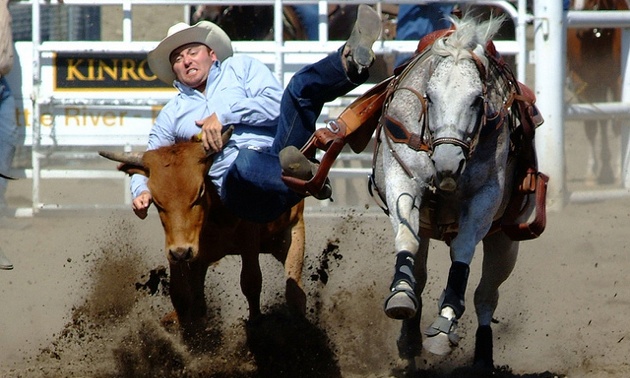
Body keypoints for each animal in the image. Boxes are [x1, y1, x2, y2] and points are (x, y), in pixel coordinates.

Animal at [372, 16, 544, 368]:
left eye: (477, 99)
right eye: (430, 95)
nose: (448, 162)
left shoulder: (485, 198)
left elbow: (463, 253)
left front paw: (444, 323)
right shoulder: (402, 179)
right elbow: (406, 240)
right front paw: (400, 294)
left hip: (505, 242)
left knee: (485, 297)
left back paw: (482, 358)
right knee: (423, 275)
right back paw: (409, 339)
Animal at [568, 0, 630, 185]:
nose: (578, 12)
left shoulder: (617, 82)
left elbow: (617, 122)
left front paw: (619, 171)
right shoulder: (583, 82)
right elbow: (591, 126)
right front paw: (591, 173)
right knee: (600, 122)